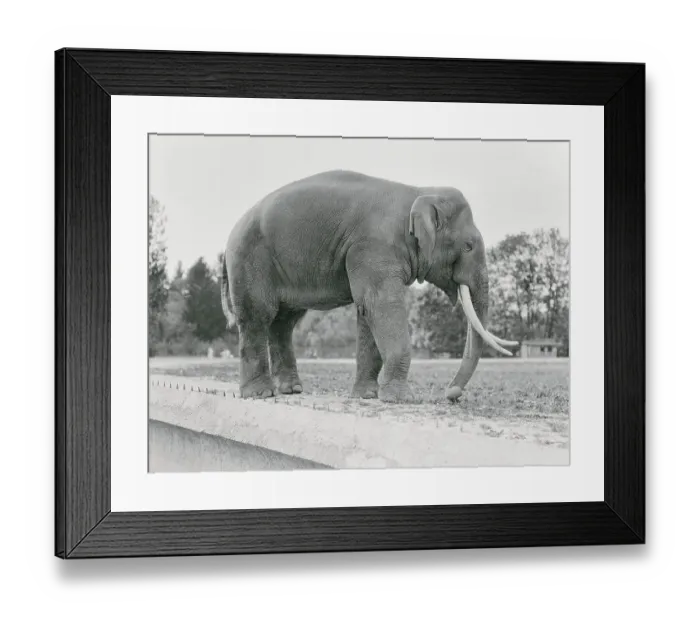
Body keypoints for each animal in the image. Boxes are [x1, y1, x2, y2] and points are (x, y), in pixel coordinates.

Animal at [220, 169, 517, 402]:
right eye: (468, 246)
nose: (451, 393)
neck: (419, 191)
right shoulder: (374, 248)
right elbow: (381, 305)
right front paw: (401, 399)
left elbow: (367, 311)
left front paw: (368, 396)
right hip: (250, 260)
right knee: (258, 316)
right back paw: (260, 394)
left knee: (284, 322)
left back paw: (291, 390)